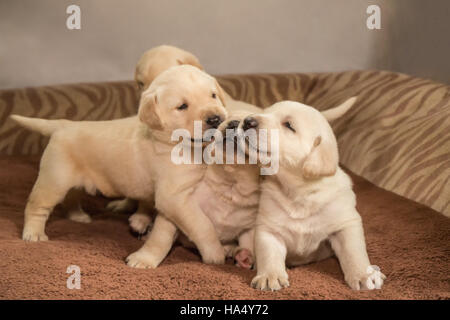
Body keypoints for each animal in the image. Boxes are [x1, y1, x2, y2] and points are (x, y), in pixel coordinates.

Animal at [11, 64, 229, 264]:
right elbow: (202, 224)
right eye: (182, 106)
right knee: (37, 205)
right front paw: (216, 253)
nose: (215, 119)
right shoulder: (174, 197)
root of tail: (64, 125)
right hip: (54, 179)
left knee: (71, 196)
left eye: (213, 95)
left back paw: (78, 216)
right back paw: (33, 233)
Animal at [239, 99, 386, 290]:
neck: (298, 191)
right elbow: (269, 254)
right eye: (265, 112)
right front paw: (270, 276)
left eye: (289, 125)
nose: (247, 121)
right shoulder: (269, 229)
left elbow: (353, 251)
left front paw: (364, 275)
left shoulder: (346, 224)